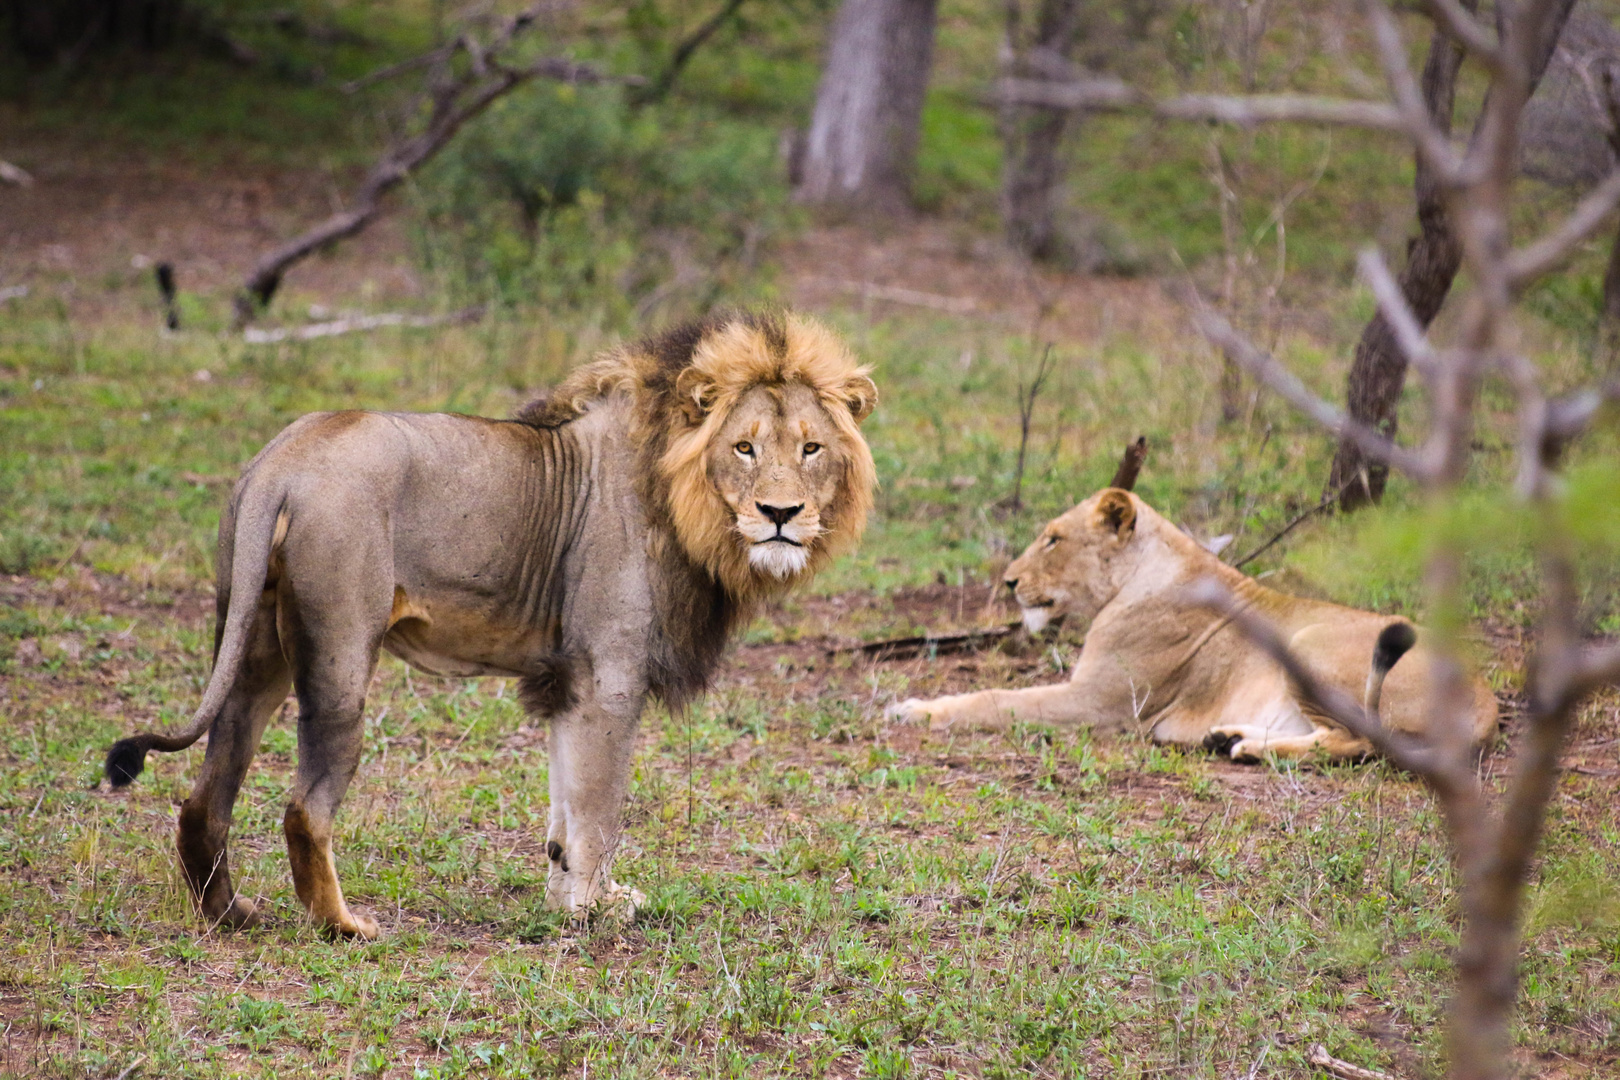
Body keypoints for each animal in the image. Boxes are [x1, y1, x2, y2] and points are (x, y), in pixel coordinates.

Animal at [109, 312, 881, 939]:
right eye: (744, 448)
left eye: (811, 449)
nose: (780, 514)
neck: (682, 499)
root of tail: (283, 459)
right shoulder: (609, 676)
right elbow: (599, 808)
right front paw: (590, 912)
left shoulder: (568, 681)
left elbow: (565, 809)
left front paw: (570, 898)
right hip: (340, 656)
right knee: (304, 810)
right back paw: (346, 926)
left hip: (253, 646)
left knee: (205, 798)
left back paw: (230, 915)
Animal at [894, 488, 1496, 761]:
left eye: (1054, 539)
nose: (1010, 582)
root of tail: (1487, 701)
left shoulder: (1103, 703)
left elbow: (993, 700)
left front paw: (914, 710)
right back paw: (1229, 735)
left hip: (1308, 643)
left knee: (1356, 740)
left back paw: (1248, 749)